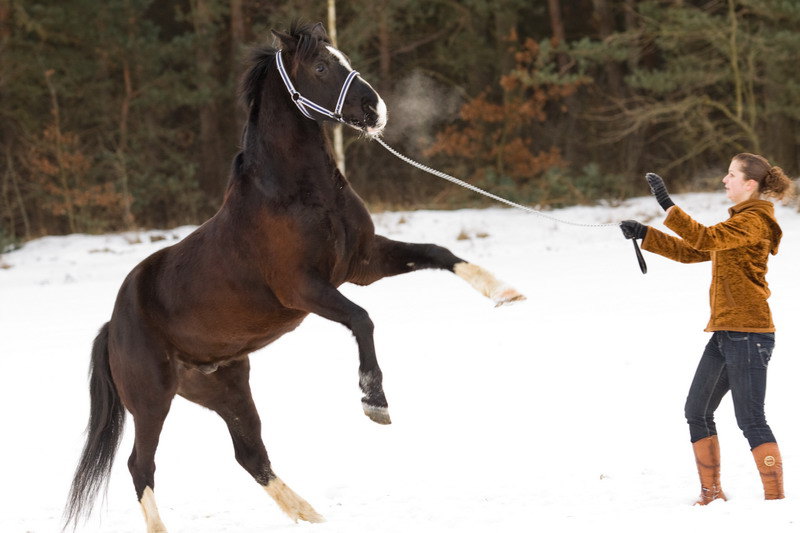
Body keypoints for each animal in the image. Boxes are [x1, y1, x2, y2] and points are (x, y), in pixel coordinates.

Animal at [64, 22, 524, 528]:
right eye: (321, 66)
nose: (375, 110)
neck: (299, 194)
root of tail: (112, 325)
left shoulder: (364, 263)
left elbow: (436, 252)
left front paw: (504, 292)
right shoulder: (303, 289)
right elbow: (362, 319)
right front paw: (375, 401)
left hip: (225, 388)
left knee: (250, 455)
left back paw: (312, 516)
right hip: (152, 400)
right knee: (139, 466)